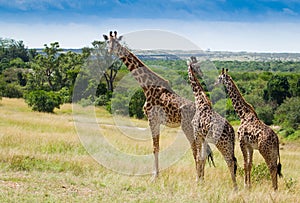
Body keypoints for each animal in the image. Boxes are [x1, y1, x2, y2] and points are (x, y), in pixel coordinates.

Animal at [102, 30, 213, 178]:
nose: (109, 52)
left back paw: (198, 178)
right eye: (108, 42)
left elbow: (154, 148)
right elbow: (157, 147)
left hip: (188, 127)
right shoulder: (157, 121)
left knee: (196, 151)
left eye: (116, 43)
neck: (147, 86)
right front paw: (157, 174)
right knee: (203, 151)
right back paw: (201, 178)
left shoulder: (152, 119)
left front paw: (154, 176)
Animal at [184, 56, 238, 190]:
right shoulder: (203, 137)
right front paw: (202, 181)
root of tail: (231, 131)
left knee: (230, 161)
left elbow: (198, 158)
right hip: (230, 144)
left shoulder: (197, 134)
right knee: (234, 160)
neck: (200, 101)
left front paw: (197, 181)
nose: (201, 73)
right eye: (196, 65)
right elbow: (203, 158)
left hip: (221, 143)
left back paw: (235, 187)